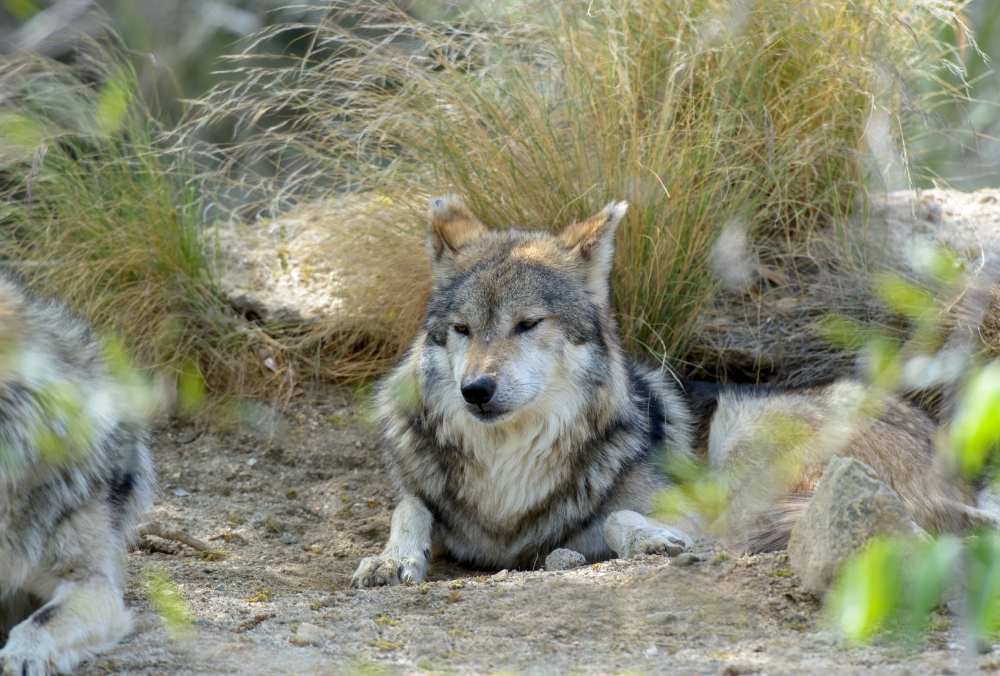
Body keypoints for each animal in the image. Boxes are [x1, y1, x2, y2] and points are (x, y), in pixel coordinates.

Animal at [352, 197, 992, 588]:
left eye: (527, 324)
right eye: (462, 329)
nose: (476, 391)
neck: (509, 466)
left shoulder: (684, 502)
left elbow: (621, 516)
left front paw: (652, 538)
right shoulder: (437, 505)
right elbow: (409, 507)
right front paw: (390, 559)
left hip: (743, 431)